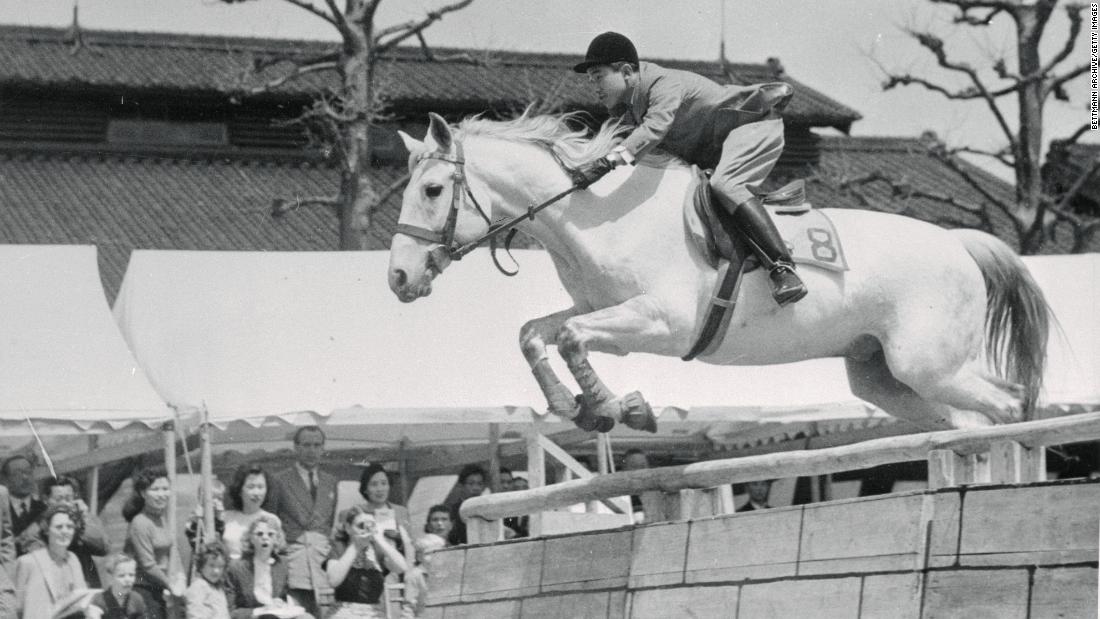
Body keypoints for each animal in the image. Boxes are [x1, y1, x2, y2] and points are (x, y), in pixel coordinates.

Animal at [387, 113, 1047, 435]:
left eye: (432, 189)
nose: (397, 279)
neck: (594, 214)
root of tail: (958, 245)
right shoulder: (604, 314)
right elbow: (534, 333)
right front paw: (579, 408)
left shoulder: (663, 323)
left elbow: (570, 338)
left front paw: (616, 409)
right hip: (883, 377)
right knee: (965, 418)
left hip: (926, 362)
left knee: (1009, 404)